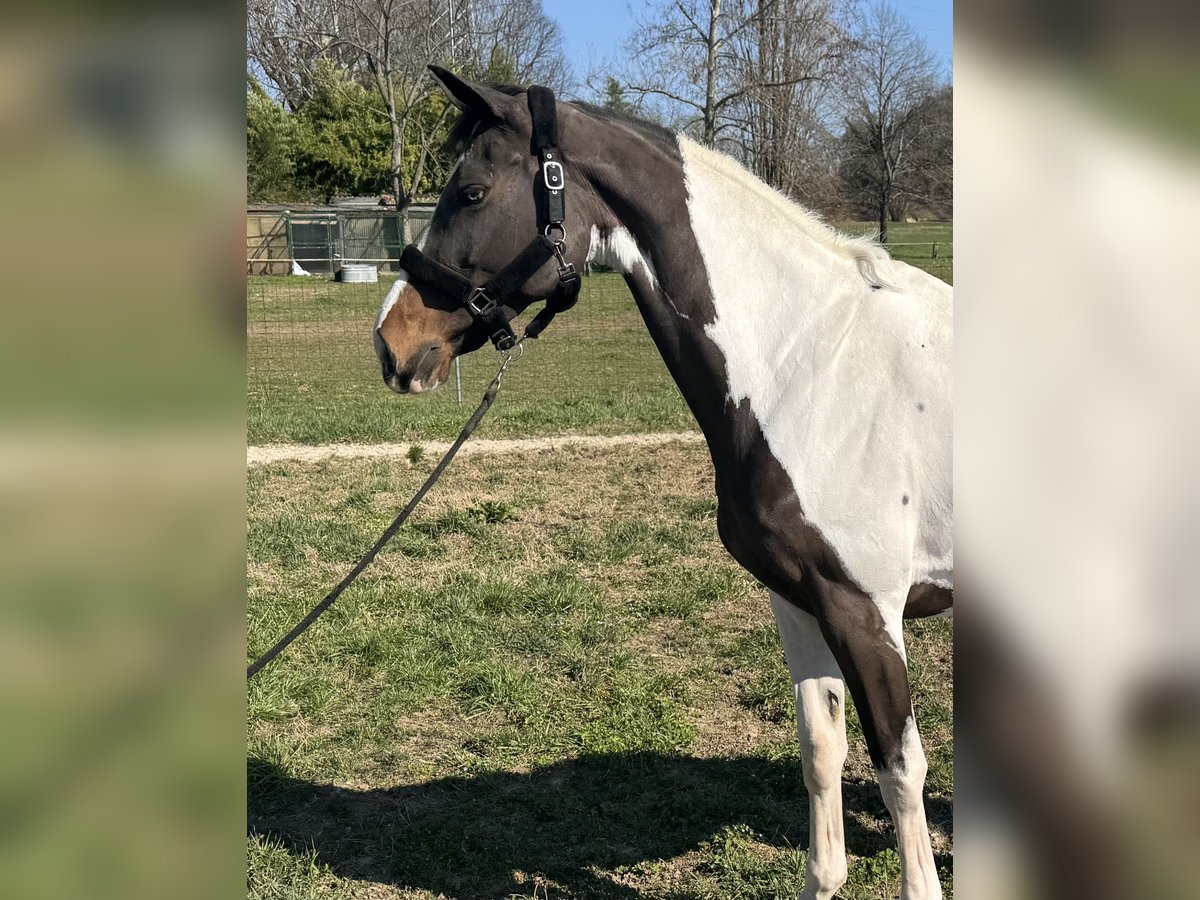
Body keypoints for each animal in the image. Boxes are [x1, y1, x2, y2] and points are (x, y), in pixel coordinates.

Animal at [369, 70, 950, 900]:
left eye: (472, 192)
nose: (389, 345)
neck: (809, 361)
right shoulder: (802, 601)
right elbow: (821, 753)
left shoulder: (868, 612)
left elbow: (899, 771)